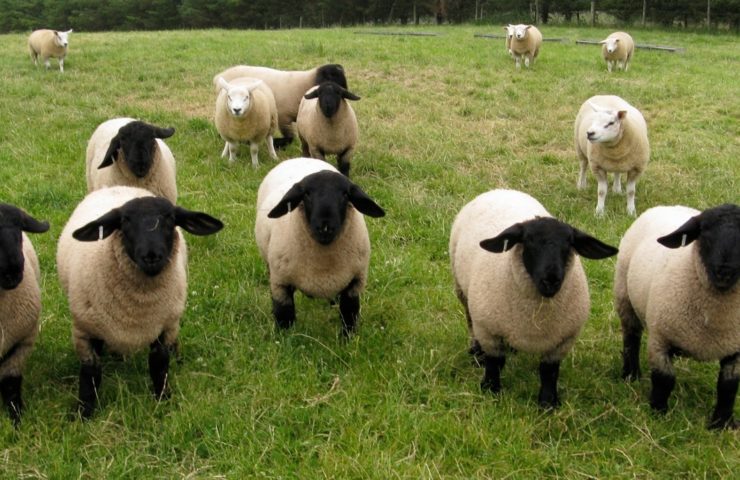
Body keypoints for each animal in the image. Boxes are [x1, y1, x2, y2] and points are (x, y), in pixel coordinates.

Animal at [56, 186, 223, 418]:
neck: (137, 307)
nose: (151, 256)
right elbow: (90, 373)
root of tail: (120, 187)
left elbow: (159, 365)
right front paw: (84, 412)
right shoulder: (84, 329)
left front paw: (163, 399)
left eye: (170, 218)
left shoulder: (164, 326)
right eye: (125, 221)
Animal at [213, 64, 347, 149]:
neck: (304, 84)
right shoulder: (283, 118)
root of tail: (219, 76)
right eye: (333, 82)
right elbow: (290, 137)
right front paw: (278, 144)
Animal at [254, 158, 385, 336]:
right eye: (307, 194)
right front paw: (285, 339)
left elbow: (349, 315)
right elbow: (284, 316)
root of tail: (301, 158)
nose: (325, 227)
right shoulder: (280, 282)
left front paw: (347, 339)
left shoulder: (355, 283)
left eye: (345, 194)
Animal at [449, 189, 617, 408]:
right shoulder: (488, 329)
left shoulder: (562, 341)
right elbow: (494, 363)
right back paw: (477, 354)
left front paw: (548, 403)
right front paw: (490, 390)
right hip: (464, 293)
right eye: (529, 241)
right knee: (471, 323)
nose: (551, 280)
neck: (535, 318)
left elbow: (549, 372)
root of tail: (503, 190)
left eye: (569, 244)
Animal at [614, 204, 740, 429]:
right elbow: (664, 379)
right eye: (704, 234)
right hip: (624, 296)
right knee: (631, 339)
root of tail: (668, 206)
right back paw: (631, 375)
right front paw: (658, 412)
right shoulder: (660, 339)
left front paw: (722, 424)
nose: (724, 272)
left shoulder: (734, 349)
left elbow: (728, 387)